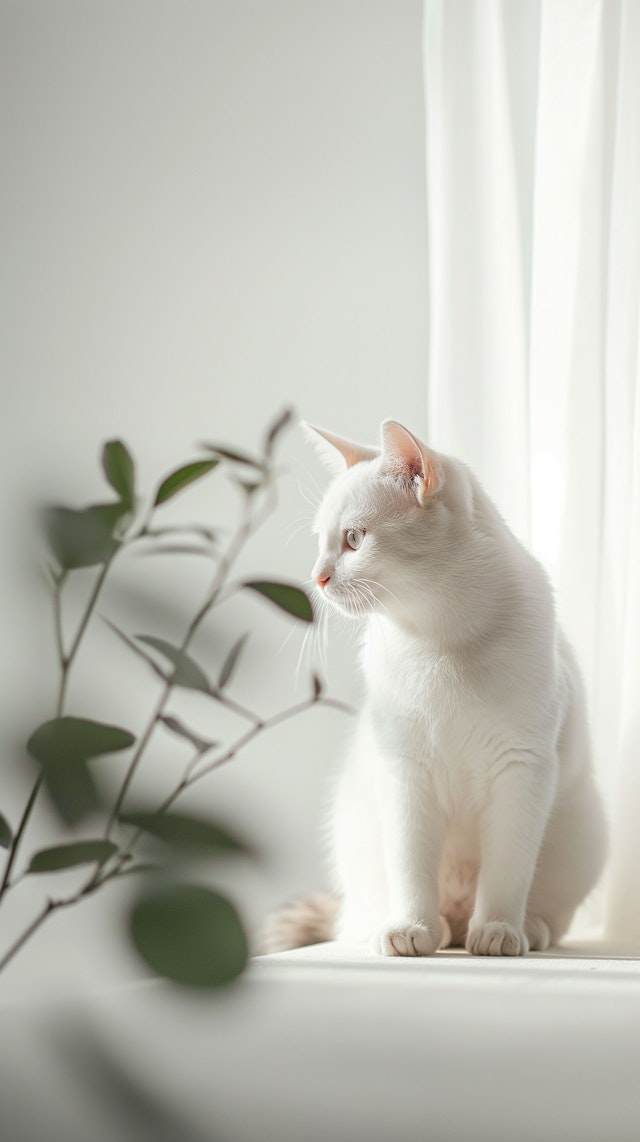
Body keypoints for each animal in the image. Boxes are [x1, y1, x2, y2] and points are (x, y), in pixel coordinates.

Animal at [267, 420, 608, 954]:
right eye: (321, 541)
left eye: (353, 539)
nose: (316, 578)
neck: (440, 638)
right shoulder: (406, 772)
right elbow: (411, 867)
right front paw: (412, 929)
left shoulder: (521, 767)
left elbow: (508, 870)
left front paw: (499, 930)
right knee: (363, 914)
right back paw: (420, 929)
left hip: (584, 834)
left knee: (547, 910)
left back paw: (522, 928)